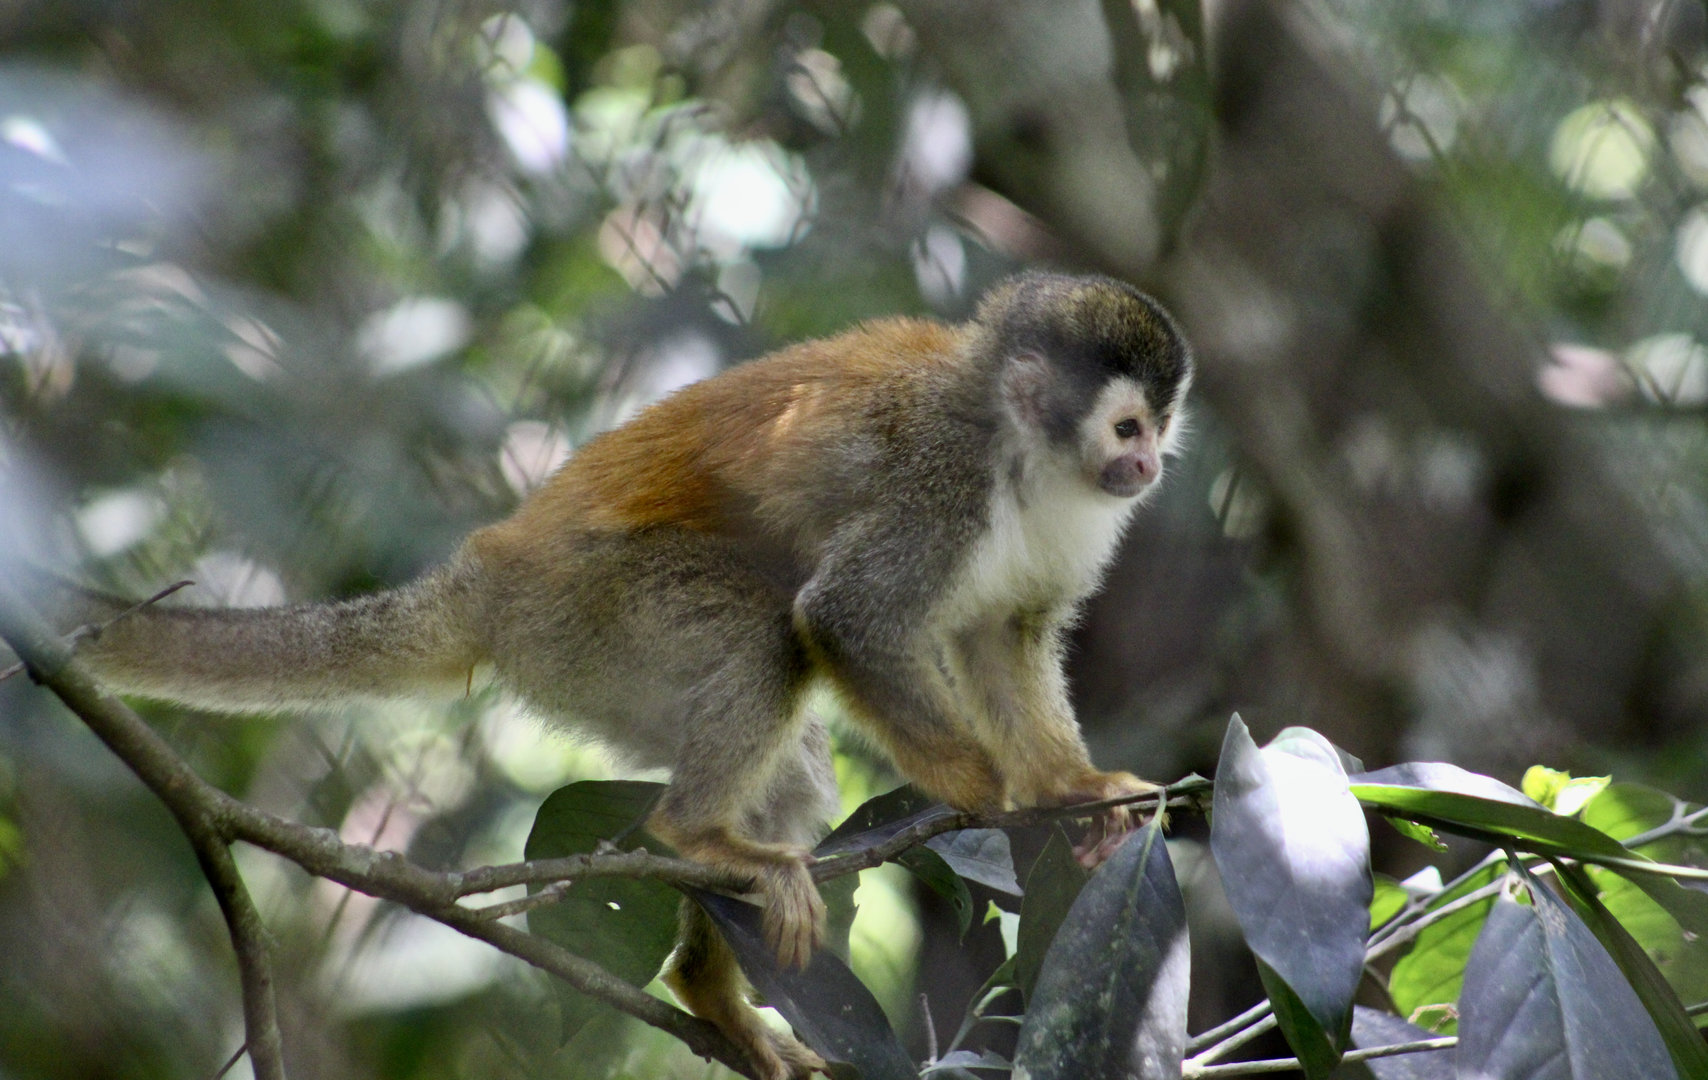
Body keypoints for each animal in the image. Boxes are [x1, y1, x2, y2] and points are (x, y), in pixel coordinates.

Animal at [33, 271, 1191, 1080]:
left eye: (1157, 430)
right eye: (1128, 425)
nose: (1149, 468)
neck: (1022, 455)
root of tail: (491, 577)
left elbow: (1004, 635)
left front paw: (1069, 788)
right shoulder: (939, 478)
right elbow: (844, 618)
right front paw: (984, 790)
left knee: (794, 761)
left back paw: (709, 979)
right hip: (595, 618)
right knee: (768, 633)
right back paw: (696, 836)